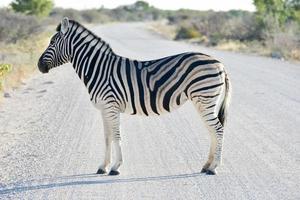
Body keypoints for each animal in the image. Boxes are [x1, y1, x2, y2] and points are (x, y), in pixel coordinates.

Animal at [38, 18, 232, 176]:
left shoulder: (111, 106)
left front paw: (115, 167)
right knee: (212, 130)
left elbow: (116, 136)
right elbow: (107, 137)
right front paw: (103, 167)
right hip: (205, 101)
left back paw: (214, 168)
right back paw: (206, 166)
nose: (39, 66)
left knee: (218, 129)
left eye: (52, 42)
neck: (99, 69)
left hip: (205, 98)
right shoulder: (104, 109)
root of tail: (219, 64)